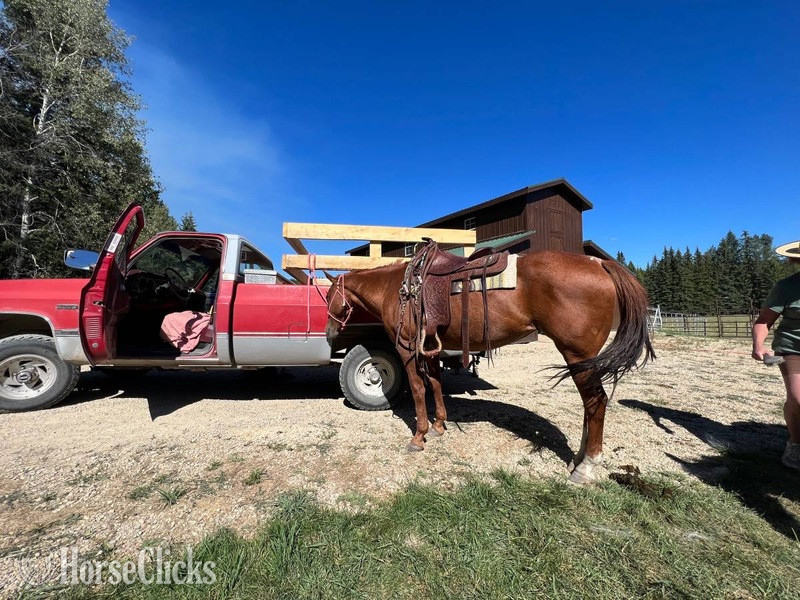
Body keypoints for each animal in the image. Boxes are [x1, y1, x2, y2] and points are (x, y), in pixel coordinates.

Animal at [325, 250, 655, 483]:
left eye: (329, 296)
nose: (329, 333)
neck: (399, 288)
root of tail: (600, 264)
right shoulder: (430, 347)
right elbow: (436, 385)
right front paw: (439, 426)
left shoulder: (407, 348)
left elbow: (418, 389)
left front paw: (419, 437)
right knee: (591, 404)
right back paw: (578, 458)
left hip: (577, 354)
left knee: (595, 402)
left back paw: (585, 467)